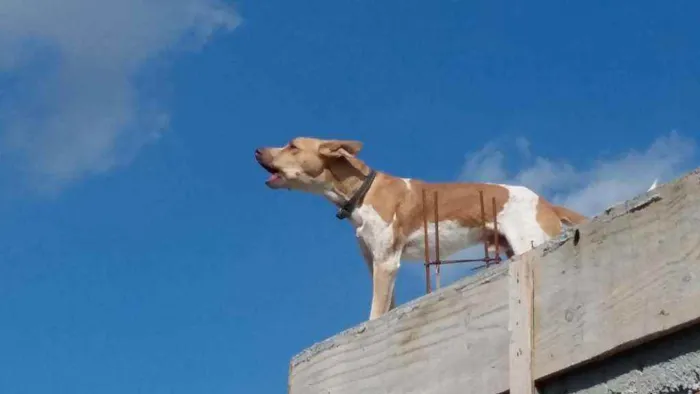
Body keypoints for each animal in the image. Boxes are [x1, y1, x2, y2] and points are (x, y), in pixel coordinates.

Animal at [254, 137, 588, 322]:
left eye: (292, 145)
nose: (256, 150)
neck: (364, 190)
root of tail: (546, 202)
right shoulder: (376, 265)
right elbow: (386, 308)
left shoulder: (387, 262)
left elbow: (375, 313)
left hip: (529, 243)